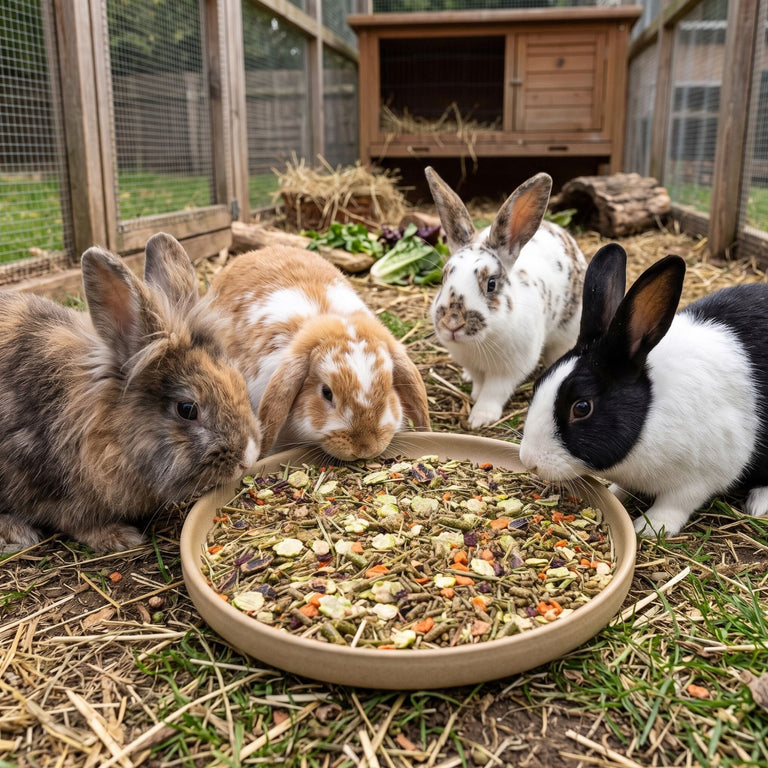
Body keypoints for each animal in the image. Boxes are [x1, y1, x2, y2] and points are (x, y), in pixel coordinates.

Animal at [425, 166, 587, 429]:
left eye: (491, 284)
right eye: (443, 278)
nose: (452, 324)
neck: (478, 343)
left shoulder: (509, 370)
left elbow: (493, 392)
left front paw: (480, 418)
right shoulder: (472, 364)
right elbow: (479, 382)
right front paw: (474, 394)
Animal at [519, 242, 768, 537]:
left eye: (581, 407)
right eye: (538, 383)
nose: (529, 461)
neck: (650, 411)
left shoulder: (704, 474)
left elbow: (677, 502)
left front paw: (650, 527)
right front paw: (615, 492)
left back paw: (758, 503)